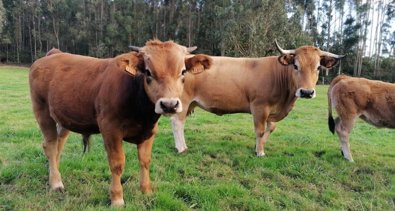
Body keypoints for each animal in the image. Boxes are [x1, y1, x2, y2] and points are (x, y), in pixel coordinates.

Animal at [28, 40, 213, 206]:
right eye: (148, 72)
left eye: (183, 71)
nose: (169, 104)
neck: (141, 112)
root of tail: (54, 54)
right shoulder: (110, 129)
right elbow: (117, 163)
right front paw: (117, 198)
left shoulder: (150, 132)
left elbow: (145, 161)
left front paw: (146, 191)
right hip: (42, 111)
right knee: (50, 146)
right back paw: (56, 183)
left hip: (65, 118)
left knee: (58, 146)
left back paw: (54, 174)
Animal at [172, 40, 344, 155]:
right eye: (295, 65)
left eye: (318, 67)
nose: (307, 92)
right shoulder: (260, 107)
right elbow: (260, 130)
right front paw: (260, 151)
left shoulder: (271, 110)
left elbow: (271, 127)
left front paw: (259, 146)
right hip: (183, 102)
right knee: (177, 123)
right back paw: (181, 148)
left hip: (190, 104)